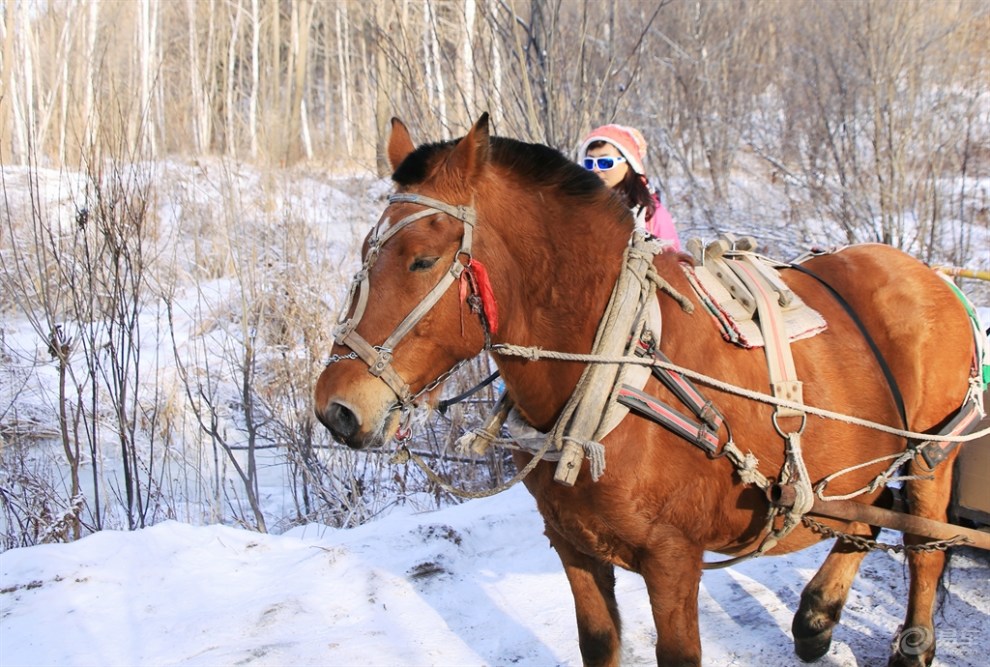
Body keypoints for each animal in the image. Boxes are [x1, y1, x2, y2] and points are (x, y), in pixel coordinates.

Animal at [314, 113, 979, 666]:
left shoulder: (673, 559)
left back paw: (913, 644)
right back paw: (816, 619)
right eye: (365, 251)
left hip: (931, 456)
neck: (610, 368)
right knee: (869, 517)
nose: (335, 410)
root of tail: (932, 276)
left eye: (423, 260)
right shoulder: (572, 546)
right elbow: (599, 644)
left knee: (926, 543)